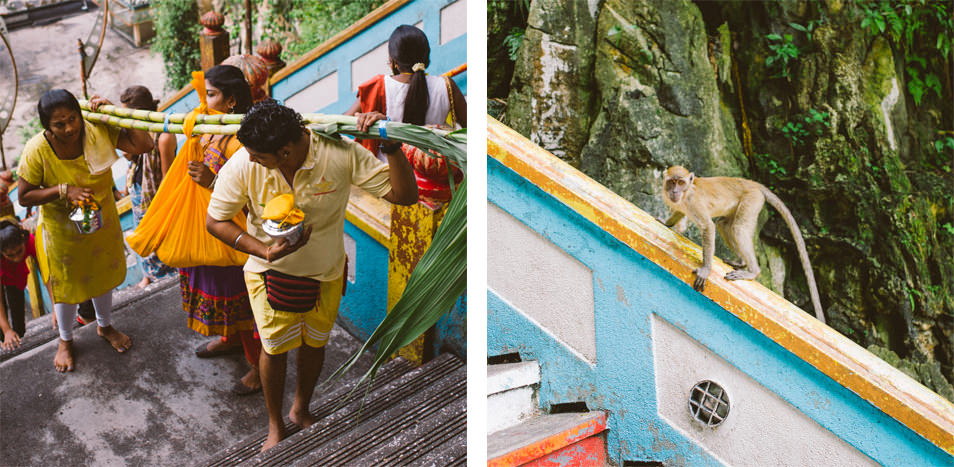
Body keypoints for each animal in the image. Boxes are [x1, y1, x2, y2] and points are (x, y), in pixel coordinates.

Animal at [660, 166, 820, 324]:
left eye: (681, 183)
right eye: (672, 182)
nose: (675, 191)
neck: (686, 194)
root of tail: (751, 183)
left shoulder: (694, 203)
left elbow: (708, 227)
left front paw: (705, 270)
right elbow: (680, 213)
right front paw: (666, 223)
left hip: (752, 200)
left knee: (739, 229)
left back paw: (753, 271)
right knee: (723, 224)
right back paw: (741, 262)